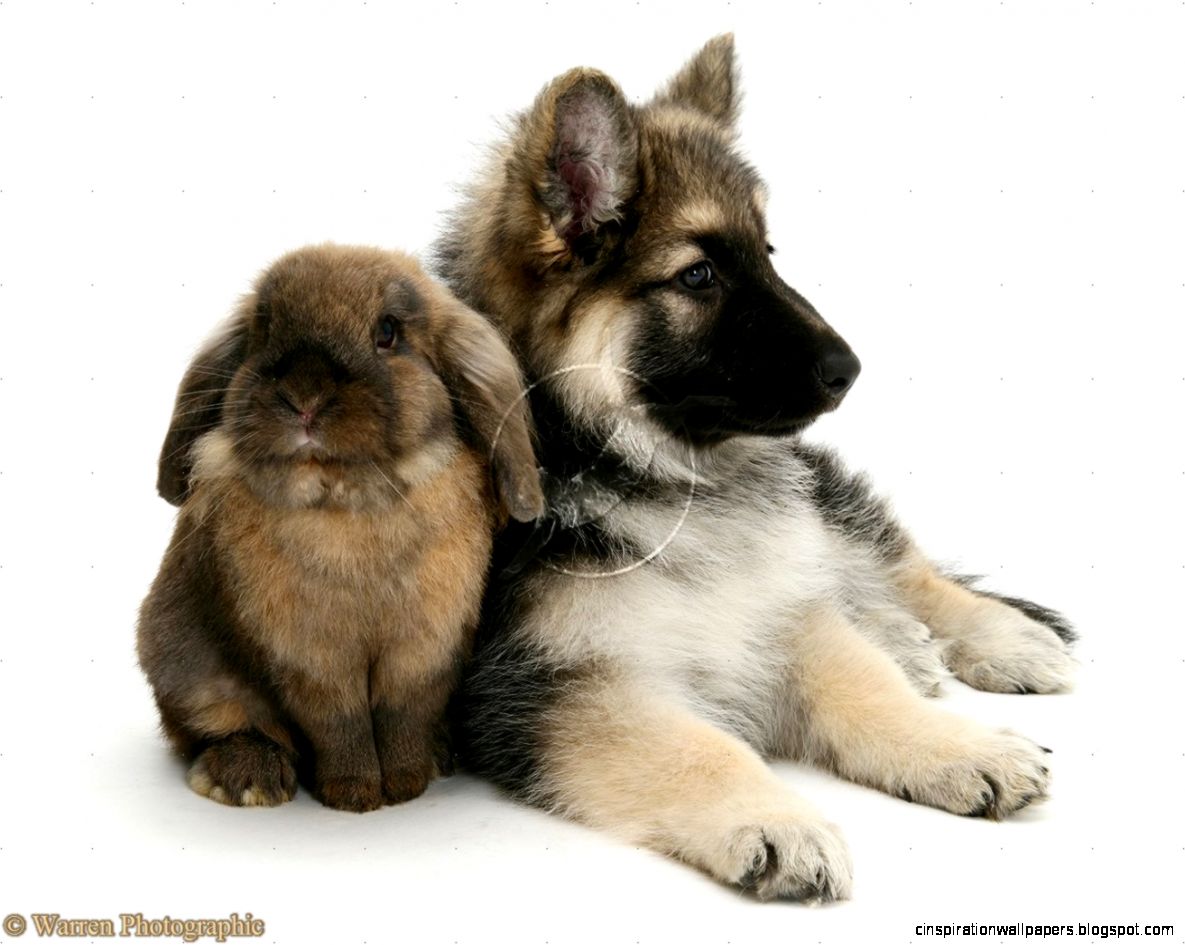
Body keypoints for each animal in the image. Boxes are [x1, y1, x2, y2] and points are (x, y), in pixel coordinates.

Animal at [137, 244, 543, 812]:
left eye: (388, 331)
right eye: (265, 330)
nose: (303, 397)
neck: (345, 499)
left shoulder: (422, 652)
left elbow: (402, 717)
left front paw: (407, 783)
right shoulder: (310, 660)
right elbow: (339, 724)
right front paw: (353, 795)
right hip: (188, 667)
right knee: (222, 725)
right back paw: (246, 779)